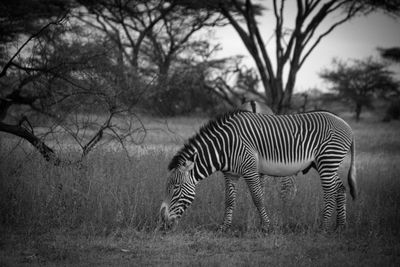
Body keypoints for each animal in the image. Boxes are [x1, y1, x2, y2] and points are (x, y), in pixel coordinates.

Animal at [161, 111, 358, 232]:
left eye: (176, 188)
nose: (163, 223)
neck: (225, 146)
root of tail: (347, 125)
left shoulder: (250, 170)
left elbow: (258, 198)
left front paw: (266, 227)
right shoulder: (230, 174)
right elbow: (229, 201)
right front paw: (224, 227)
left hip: (328, 160)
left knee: (330, 192)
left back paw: (323, 227)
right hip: (324, 163)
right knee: (340, 188)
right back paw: (340, 226)